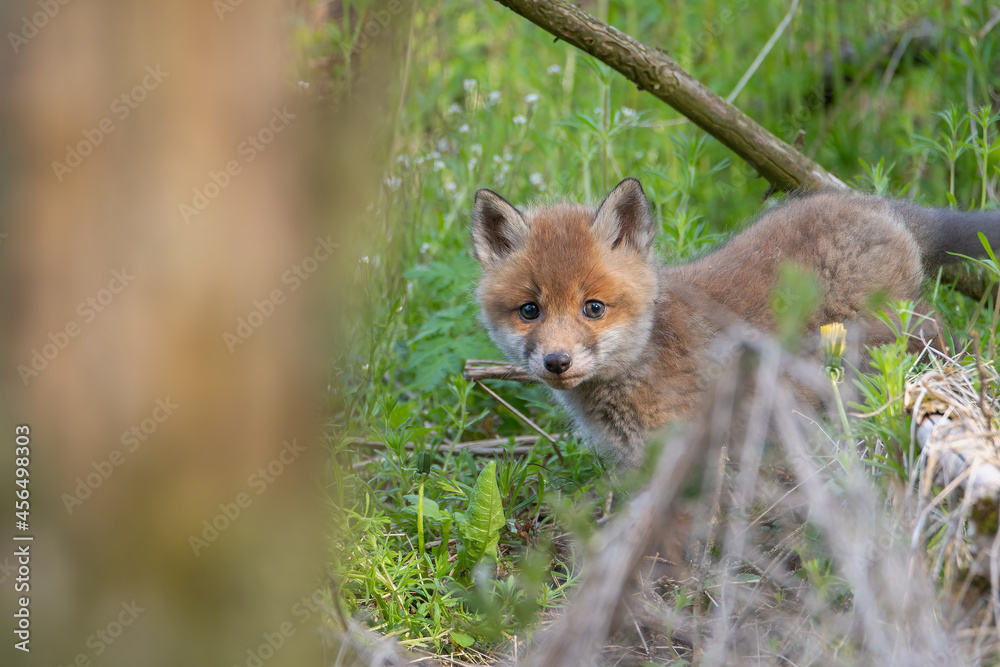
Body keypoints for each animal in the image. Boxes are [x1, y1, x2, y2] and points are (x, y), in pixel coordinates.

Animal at [470, 177, 1000, 467]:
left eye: (593, 308)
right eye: (530, 311)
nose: (557, 361)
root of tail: (877, 202)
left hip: (889, 333)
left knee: (939, 335)